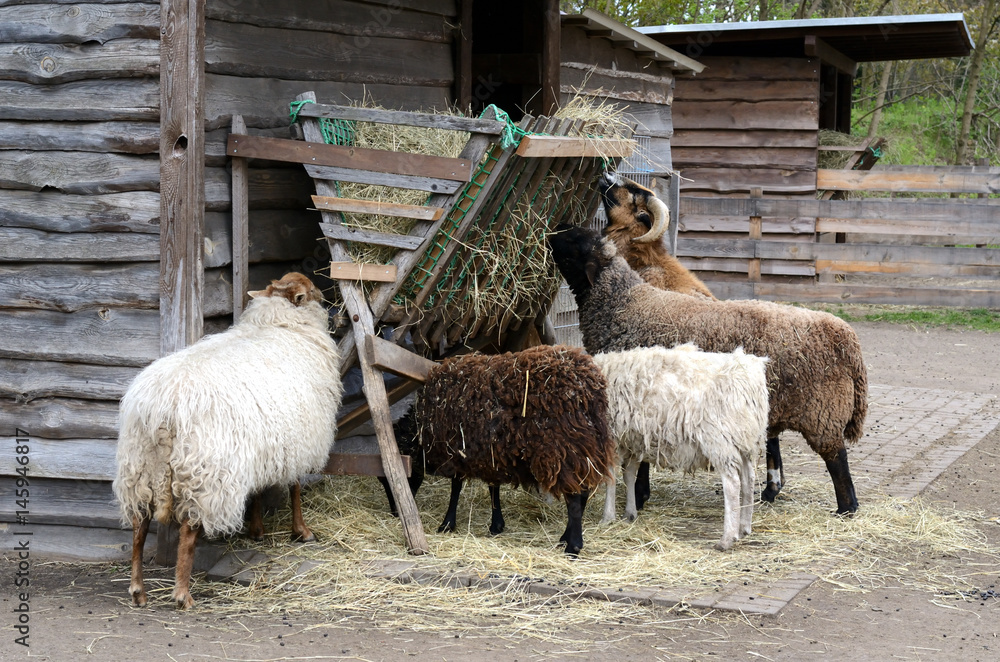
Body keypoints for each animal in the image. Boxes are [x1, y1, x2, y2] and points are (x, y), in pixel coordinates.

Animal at [113, 272, 343, 609]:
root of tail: (161, 410)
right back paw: (182, 594)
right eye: (308, 289)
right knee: (188, 532)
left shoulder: (265, 445)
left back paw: (138, 590)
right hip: (204, 473)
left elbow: (259, 490)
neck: (279, 323)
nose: (326, 296)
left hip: (139, 469)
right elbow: (296, 487)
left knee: (138, 529)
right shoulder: (298, 440)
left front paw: (257, 530)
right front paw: (302, 531)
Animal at [397, 344, 615, 555]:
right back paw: (564, 539)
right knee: (583, 493)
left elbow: (456, 488)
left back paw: (573, 547)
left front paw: (447, 523)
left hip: (564, 450)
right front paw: (496, 525)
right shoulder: (489, 453)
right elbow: (493, 487)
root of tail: (590, 388)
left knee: (575, 500)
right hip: (585, 450)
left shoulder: (457, 452)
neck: (421, 429)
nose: (394, 511)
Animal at [548, 226, 868, 516]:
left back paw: (846, 509)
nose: (552, 231)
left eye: (577, 243)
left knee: (837, 459)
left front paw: (638, 497)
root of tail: (847, 337)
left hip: (822, 409)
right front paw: (641, 495)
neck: (622, 306)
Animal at [592, 345, 769, 551]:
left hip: (720, 438)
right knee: (749, 479)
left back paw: (726, 538)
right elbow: (629, 475)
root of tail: (749, 373)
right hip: (744, 439)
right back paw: (744, 527)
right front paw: (629, 513)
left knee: (732, 483)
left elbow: (611, 479)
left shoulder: (613, 438)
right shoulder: (633, 440)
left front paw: (607, 516)